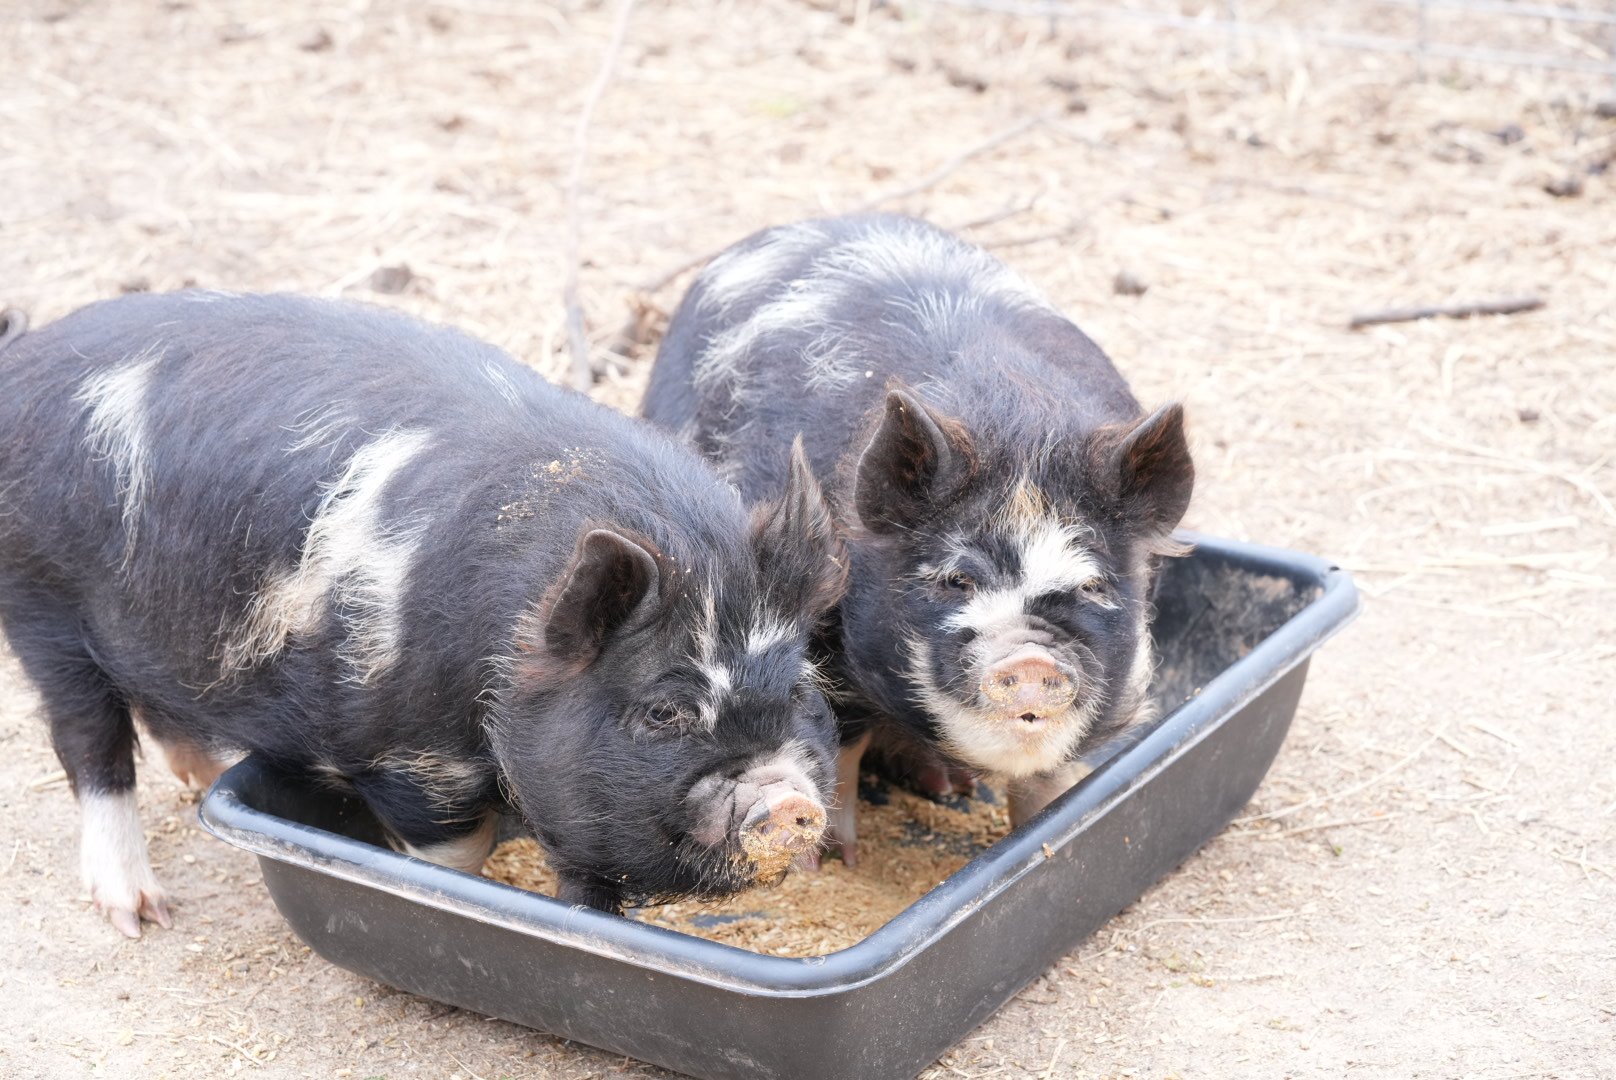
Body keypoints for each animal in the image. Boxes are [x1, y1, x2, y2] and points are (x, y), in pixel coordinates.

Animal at [0, 292, 846, 934]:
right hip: (42, 607)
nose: (789, 799)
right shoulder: (408, 758)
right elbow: (455, 856)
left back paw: (204, 775)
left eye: (802, 689)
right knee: (89, 746)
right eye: (662, 712)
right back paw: (140, 913)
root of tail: (22, 364)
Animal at [642, 214, 1193, 864]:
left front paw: (1046, 827)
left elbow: (1046, 779)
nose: (1031, 657)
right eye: (957, 579)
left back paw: (948, 784)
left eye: (1091, 584)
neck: (1017, 423)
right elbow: (839, 744)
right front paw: (832, 862)